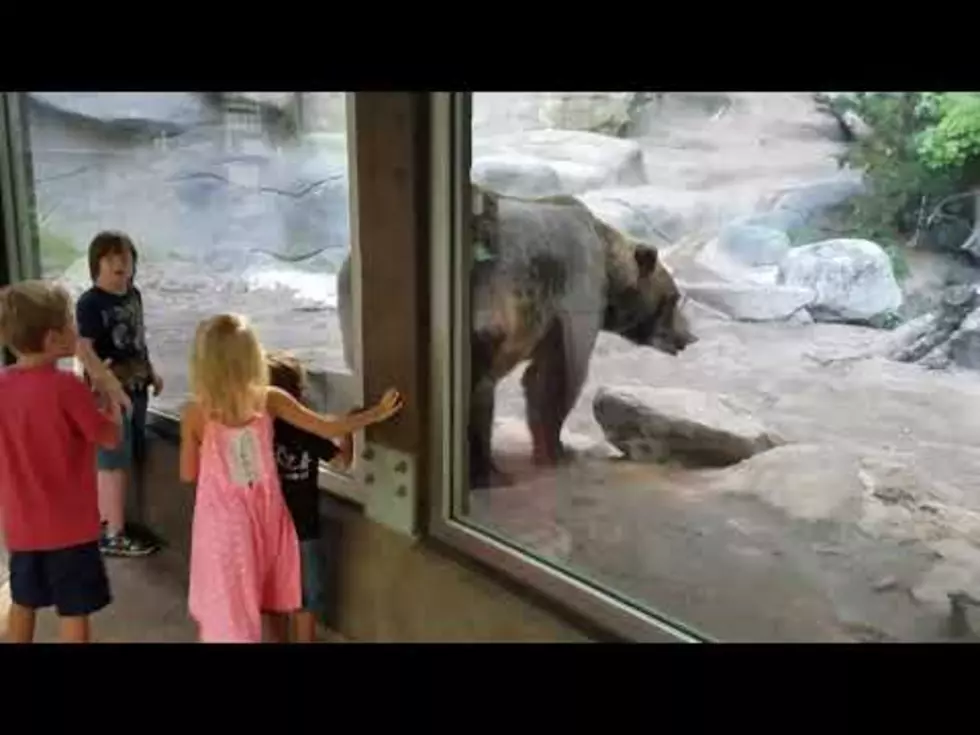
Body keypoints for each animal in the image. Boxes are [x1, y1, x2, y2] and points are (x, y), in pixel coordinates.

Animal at [336, 188, 696, 488]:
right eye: (674, 298)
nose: (689, 336)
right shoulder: (576, 292)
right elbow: (559, 375)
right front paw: (558, 449)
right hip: (485, 310)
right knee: (479, 387)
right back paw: (487, 473)